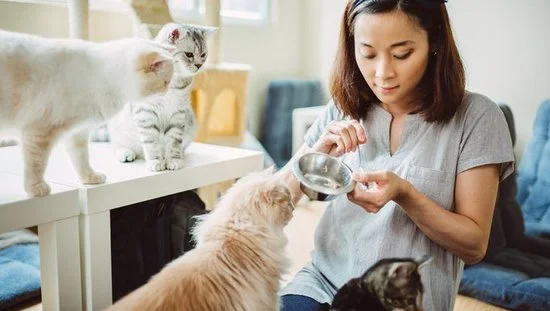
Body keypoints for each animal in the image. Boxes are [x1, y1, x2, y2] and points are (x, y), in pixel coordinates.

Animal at [0, 29, 175, 197]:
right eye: (165, 83)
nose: (168, 93)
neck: (104, 77)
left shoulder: (77, 132)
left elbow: (81, 160)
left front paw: (90, 179)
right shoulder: (39, 132)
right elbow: (36, 164)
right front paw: (35, 188)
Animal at [109, 23, 217, 172]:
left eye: (203, 55)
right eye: (189, 54)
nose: (199, 65)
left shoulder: (178, 114)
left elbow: (174, 142)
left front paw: (174, 160)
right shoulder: (146, 113)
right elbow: (151, 142)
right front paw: (155, 161)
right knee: (116, 144)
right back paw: (126, 153)